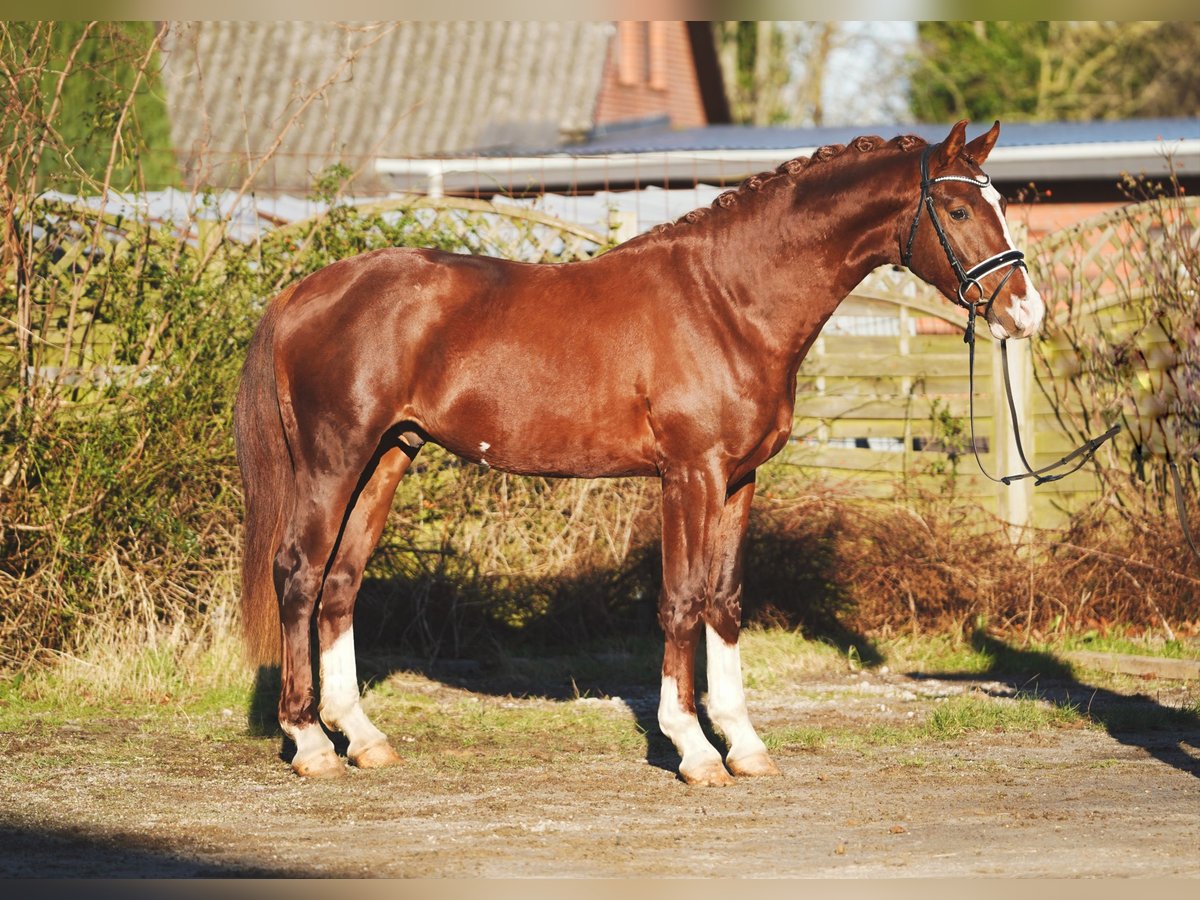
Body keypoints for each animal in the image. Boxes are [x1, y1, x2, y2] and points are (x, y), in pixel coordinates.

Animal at [231, 120, 1041, 782]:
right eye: (960, 209)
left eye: (1000, 203)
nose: (1026, 311)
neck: (727, 301)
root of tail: (303, 292)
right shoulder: (690, 475)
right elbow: (682, 600)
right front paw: (692, 749)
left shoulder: (740, 480)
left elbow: (725, 601)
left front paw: (744, 745)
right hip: (334, 459)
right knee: (299, 574)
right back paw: (309, 743)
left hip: (389, 456)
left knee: (341, 583)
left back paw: (363, 738)